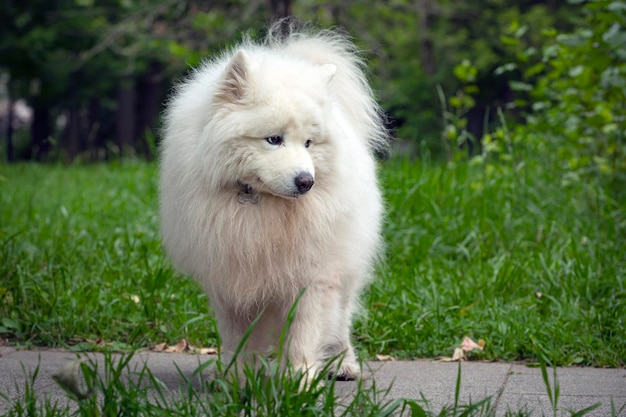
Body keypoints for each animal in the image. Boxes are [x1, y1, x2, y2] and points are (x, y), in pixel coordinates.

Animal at [160, 22, 386, 380]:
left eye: (308, 143)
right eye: (273, 139)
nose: (306, 181)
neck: (262, 205)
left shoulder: (312, 277)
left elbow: (303, 334)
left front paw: (300, 380)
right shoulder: (230, 279)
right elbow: (238, 337)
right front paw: (238, 380)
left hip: (345, 269)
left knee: (341, 320)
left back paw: (344, 364)